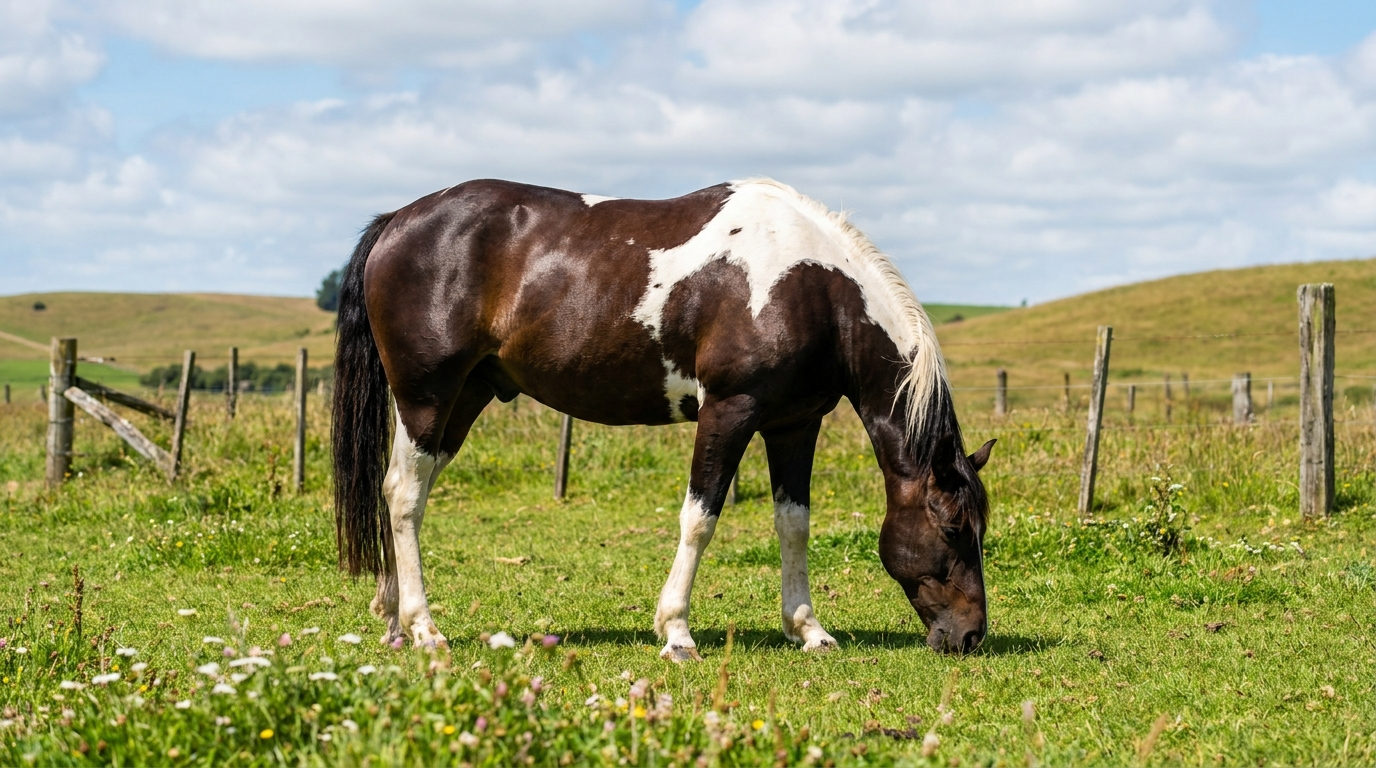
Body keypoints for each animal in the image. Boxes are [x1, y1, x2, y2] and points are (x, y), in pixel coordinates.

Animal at [331, 178, 994, 659]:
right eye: (953, 528)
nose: (970, 636)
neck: (808, 286)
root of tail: (399, 220)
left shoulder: (794, 425)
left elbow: (794, 525)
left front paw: (808, 629)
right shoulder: (730, 411)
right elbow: (700, 519)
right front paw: (676, 633)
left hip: (464, 398)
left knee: (405, 494)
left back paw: (393, 618)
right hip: (426, 397)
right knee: (404, 495)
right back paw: (423, 628)